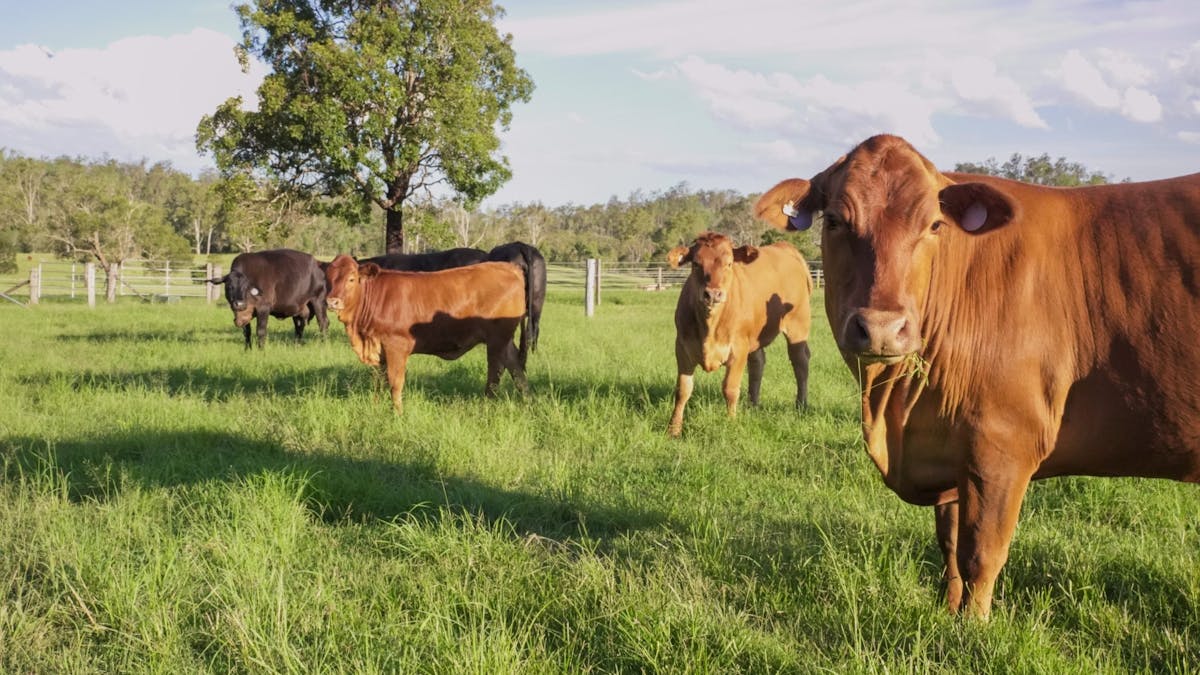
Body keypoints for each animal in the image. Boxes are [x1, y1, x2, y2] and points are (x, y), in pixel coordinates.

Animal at [323, 254, 529, 412]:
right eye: (328, 278)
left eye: (351, 279)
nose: (332, 302)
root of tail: (509, 267)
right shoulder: (380, 349)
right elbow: (379, 382)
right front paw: (376, 407)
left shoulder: (396, 347)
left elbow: (395, 383)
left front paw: (397, 413)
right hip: (505, 339)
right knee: (515, 367)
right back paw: (526, 400)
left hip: (497, 339)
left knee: (495, 372)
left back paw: (486, 405)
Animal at [666, 232, 812, 437]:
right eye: (695, 264)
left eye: (729, 264)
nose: (713, 294)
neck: (709, 326)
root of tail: (785, 247)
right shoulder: (682, 347)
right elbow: (683, 390)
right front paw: (674, 429)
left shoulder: (738, 349)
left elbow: (730, 389)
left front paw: (730, 423)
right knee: (758, 363)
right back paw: (753, 405)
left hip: (798, 325)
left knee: (800, 363)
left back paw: (801, 404)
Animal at [754, 134, 1200, 618]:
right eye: (834, 219)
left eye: (934, 225)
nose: (881, 328)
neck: (894, 412)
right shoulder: (952, 449)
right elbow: (950, 545)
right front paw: (948, 611)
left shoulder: (1002, 445)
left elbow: (982, 553)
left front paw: (975, 624)